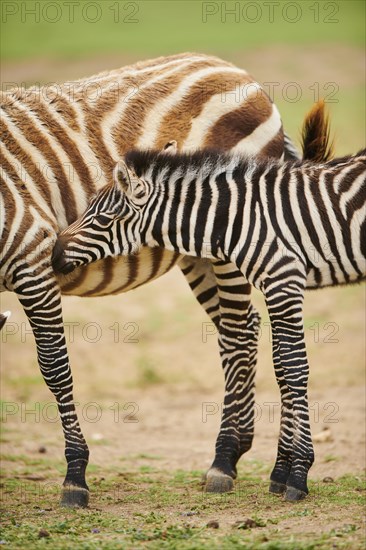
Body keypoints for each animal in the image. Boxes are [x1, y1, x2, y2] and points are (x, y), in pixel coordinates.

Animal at [1, 52, 320, 508]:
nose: (61, 256)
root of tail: (233, 69)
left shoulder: (30, 258)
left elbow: (55, 368)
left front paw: (75, 476)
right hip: (198, 250)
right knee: (243, 330)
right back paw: (240, 452)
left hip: (236, 234)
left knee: (240, 334)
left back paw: (225, 460)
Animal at [54, 143, 366, 504]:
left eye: (104, 219)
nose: (53, 254)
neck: (240, 219)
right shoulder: (275, 284)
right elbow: (281, 370)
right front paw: (280, 471)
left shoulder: (284, 279)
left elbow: (292, 368)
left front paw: (299, 474)